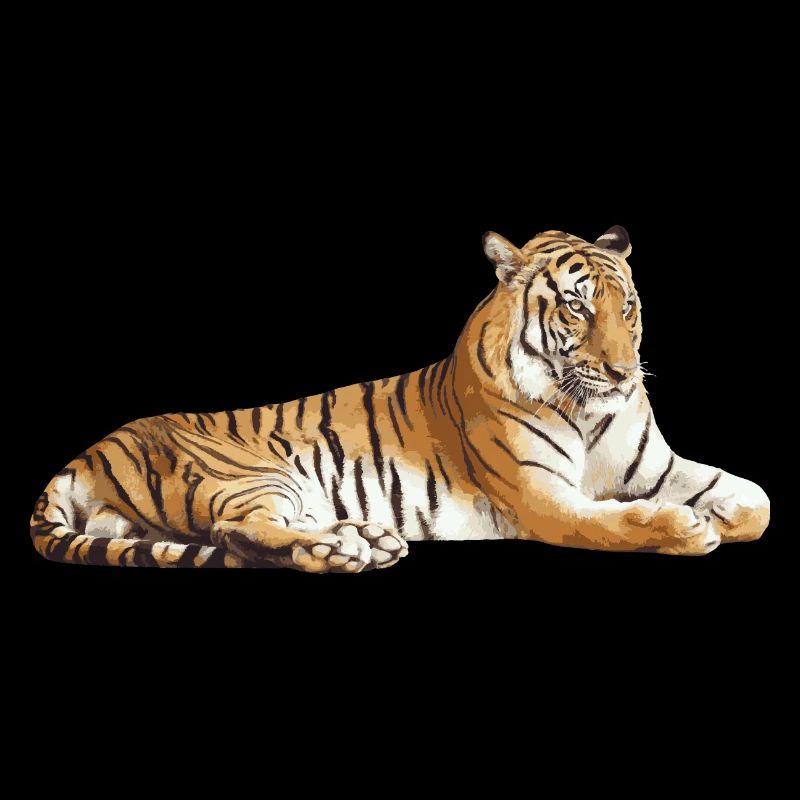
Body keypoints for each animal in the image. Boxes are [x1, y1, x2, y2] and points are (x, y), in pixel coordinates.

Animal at [30, 225, 770, 572]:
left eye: (629, 308)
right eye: (578, 308)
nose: (622, 373)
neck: (589, 411)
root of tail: (91, 450)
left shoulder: (656, 466)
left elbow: (756, 501)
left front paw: (724, 514)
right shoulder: (544, 499)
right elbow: (612, 523)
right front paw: (687, 528)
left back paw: (362, 538)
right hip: (249, 473)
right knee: (234, 532)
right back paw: (347, 553)